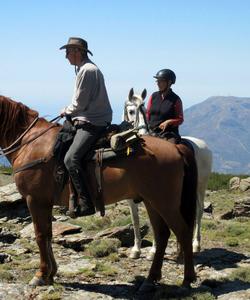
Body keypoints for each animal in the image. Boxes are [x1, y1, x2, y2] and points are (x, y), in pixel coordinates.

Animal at [0, 95, 198, 290]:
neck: (30, 144)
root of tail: (175, 148)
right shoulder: (45, 203)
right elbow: (48, 235)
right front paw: (51, 273)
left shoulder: (35, 200)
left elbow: (40, 236)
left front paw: (40, 275)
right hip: (152, 202)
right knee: (162, 234)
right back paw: (150, 279)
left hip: (165, 203)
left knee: (183, 232)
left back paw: (187, 280)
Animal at [124, 88, 212, 258]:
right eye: (131, 111)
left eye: (144, 111)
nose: (142, 133)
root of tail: (204, 145)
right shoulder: (131, 198)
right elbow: (135, 219)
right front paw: (136, 250)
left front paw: (153, 250)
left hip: (201, 186)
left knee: (199, 211)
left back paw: (196, 244)